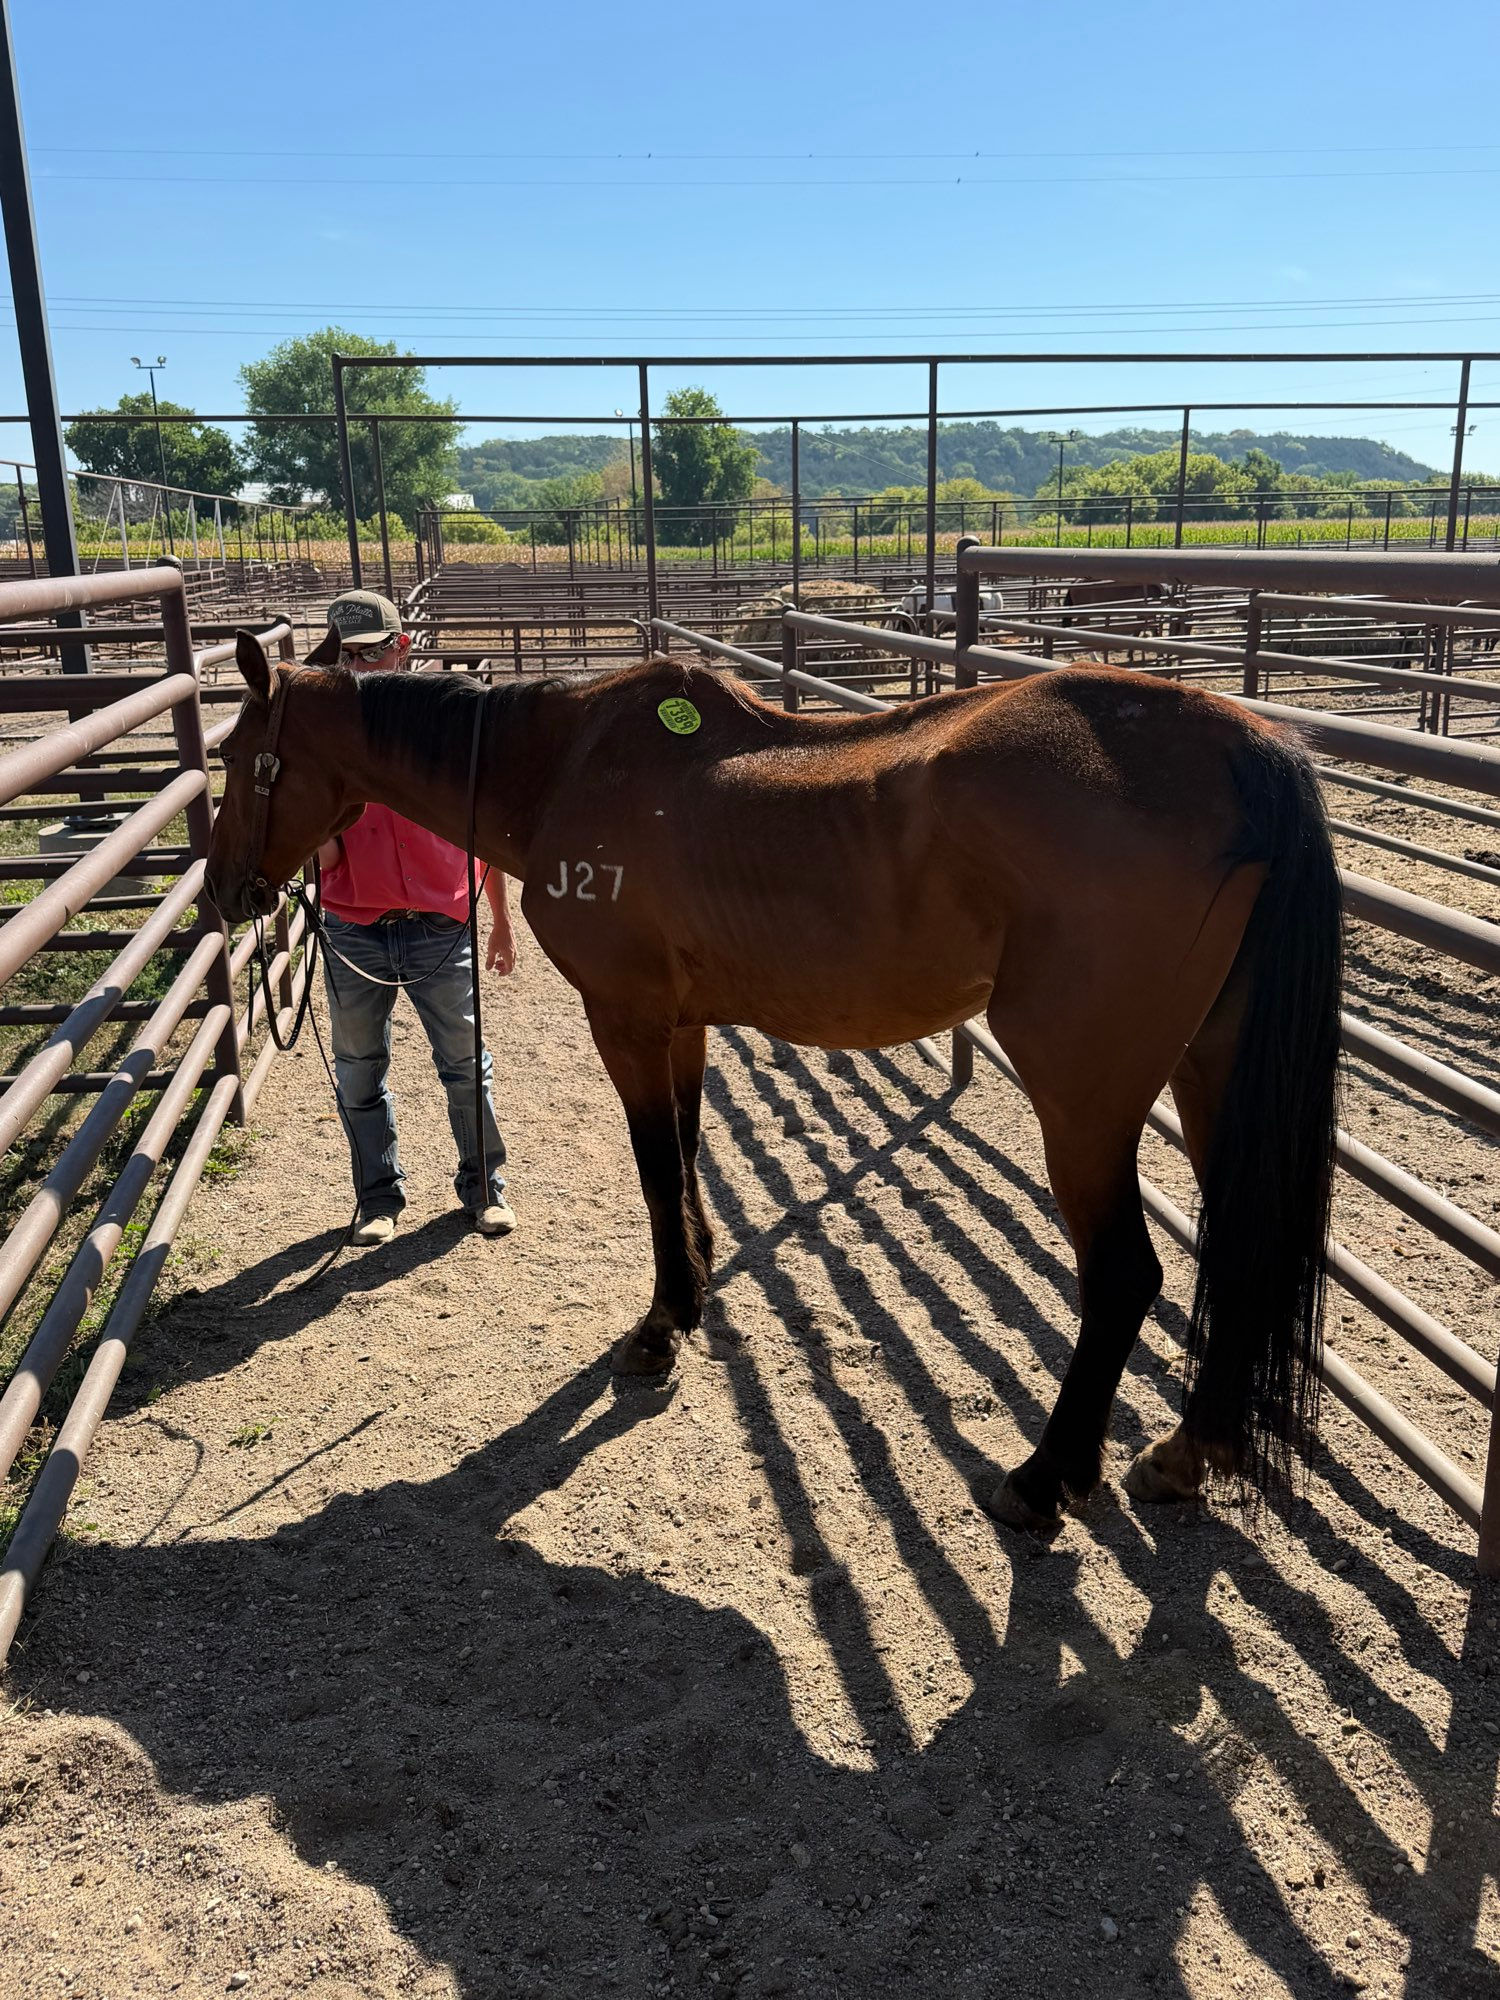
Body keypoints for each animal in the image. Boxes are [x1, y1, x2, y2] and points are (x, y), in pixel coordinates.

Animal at [206, 634, 1342, 1535]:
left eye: (230, 758)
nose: (221, 893)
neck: (566, 763)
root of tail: (1248, 750)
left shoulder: (625, 1017)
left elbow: (655, 1170)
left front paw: (660, 1327)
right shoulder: (685, 1023)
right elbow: (687, 1156)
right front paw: (697, 1290)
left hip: (1084, 1102)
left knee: (1125, 1277)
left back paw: (1043, 1477)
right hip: (1208, 1076)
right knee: (1241, 1247)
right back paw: (1188, 1455)